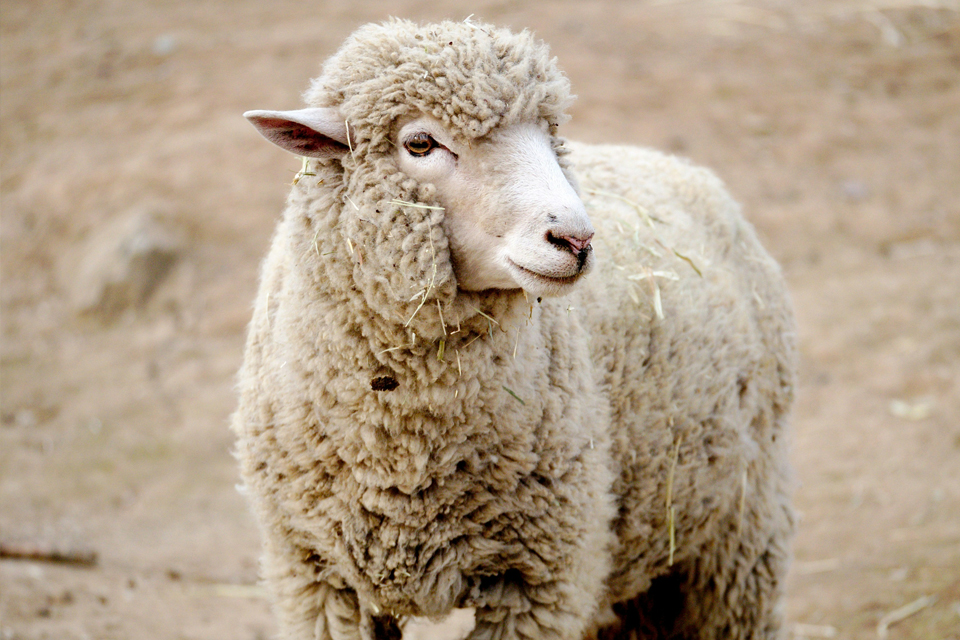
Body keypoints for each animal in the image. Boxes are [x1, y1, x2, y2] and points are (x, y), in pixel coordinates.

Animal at [232, 18, 797, 640]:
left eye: (551, 138)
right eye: (420, 143)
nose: (576, 240)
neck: (404, 455)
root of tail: (671, 162)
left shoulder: (539, 579)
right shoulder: (318, 578)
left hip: (740, 529)